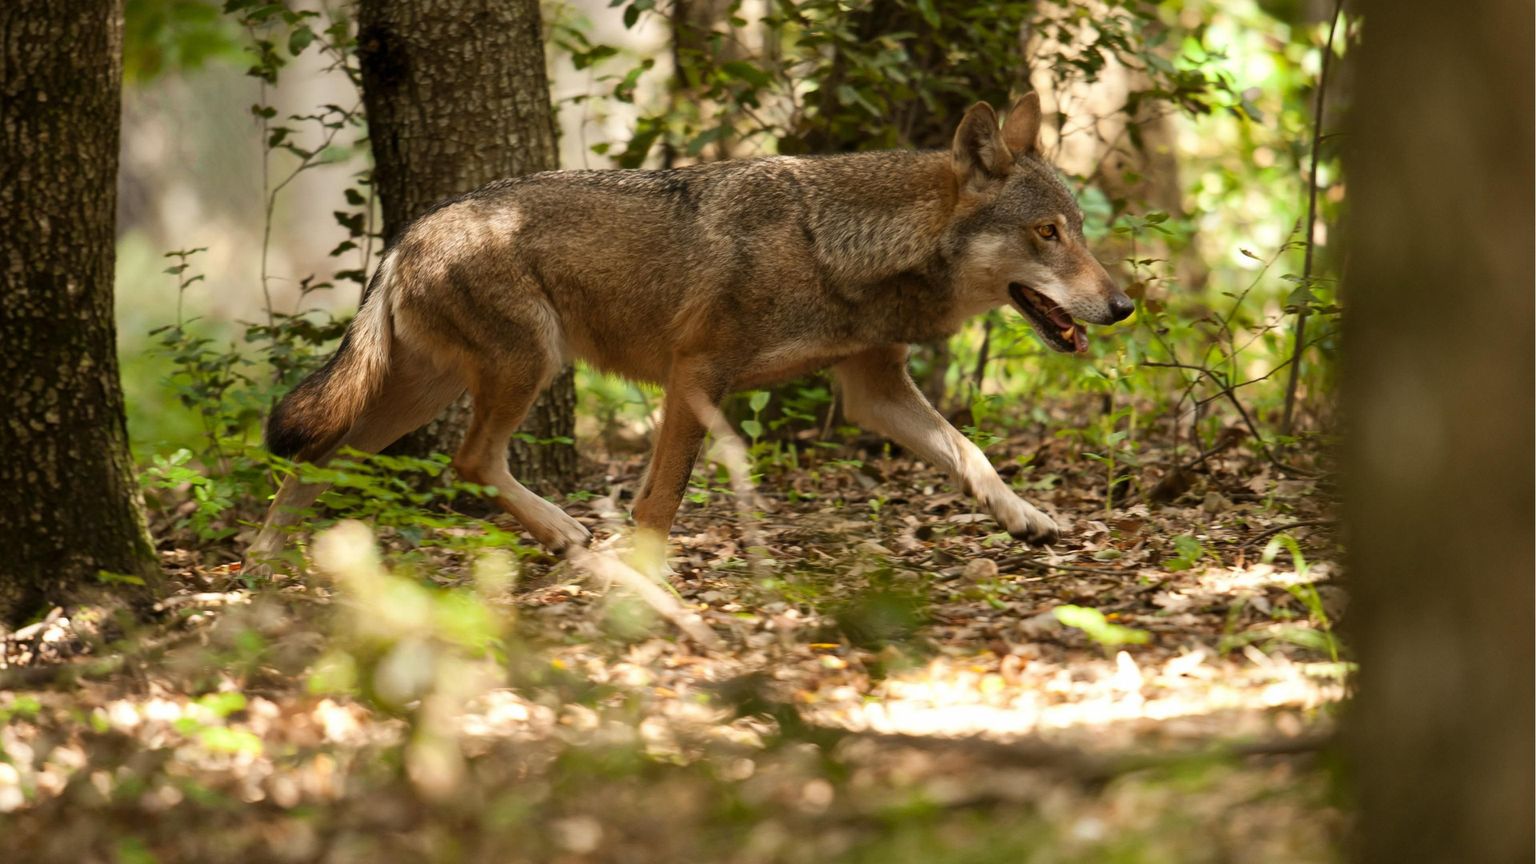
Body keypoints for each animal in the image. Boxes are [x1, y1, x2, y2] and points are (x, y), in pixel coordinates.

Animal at [245, 94, 1132, 568]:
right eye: (1048, 233)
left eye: (1082, 230)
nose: (1124, 307)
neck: (840, 245)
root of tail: (410, 230)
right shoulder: (697, 375)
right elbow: (662, 498)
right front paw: (650, 582)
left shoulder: (871, 390)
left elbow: (970, 452)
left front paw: (1025, 516)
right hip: (526, 366)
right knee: (467, 462)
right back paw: (565, 533)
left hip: (420, 395)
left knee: (324, 456)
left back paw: (262, 564)